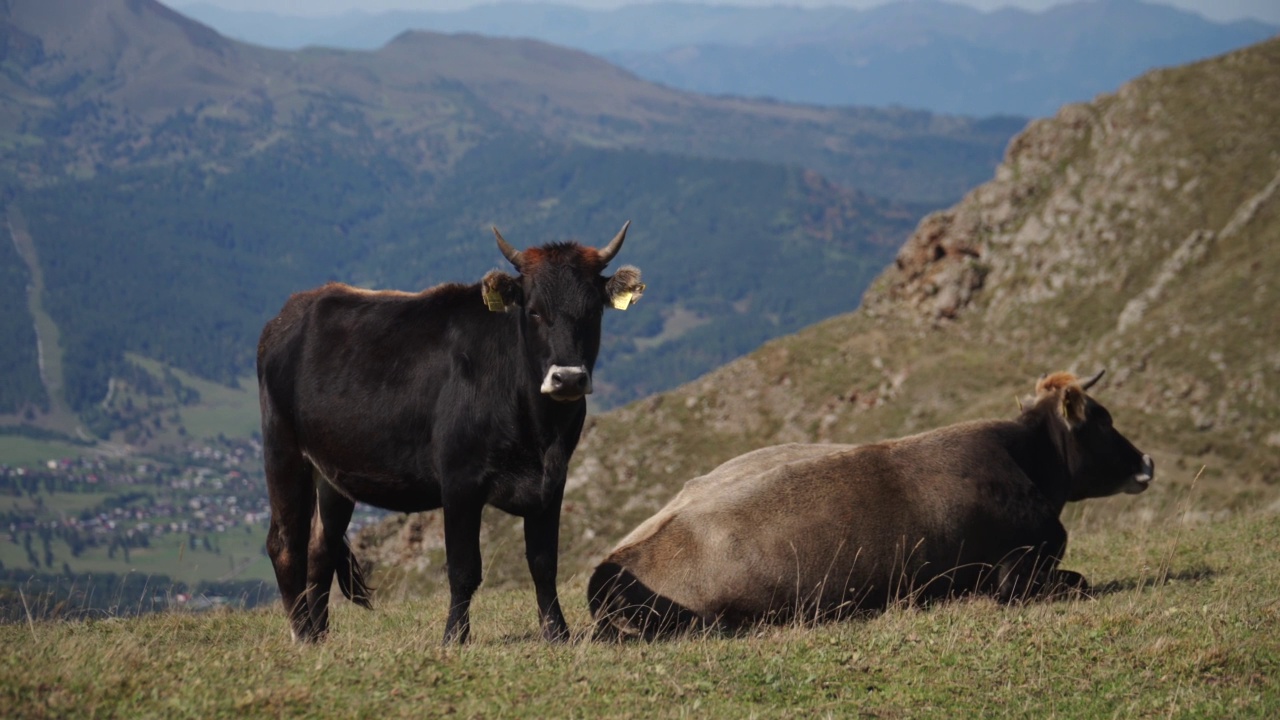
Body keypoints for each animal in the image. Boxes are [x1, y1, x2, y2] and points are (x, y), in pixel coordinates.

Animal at [258, 221, 645, 640]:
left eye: (592, 312)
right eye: (535, 311)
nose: (568, 378)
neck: (540, 432)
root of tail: (287, 315)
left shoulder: (554, 481)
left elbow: (544, 563)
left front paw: (557, 632)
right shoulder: (460, 479)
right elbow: (463, 569)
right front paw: (455, 636)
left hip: (333, 474)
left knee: (321, 548)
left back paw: (321, 636)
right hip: (283, 451)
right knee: (285, 544)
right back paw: (303, 634)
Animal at [588, 368, 1162, 632]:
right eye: (1103, 419)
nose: (1148, 462)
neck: (1025, 461)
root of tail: (616, 562)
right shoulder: (1015, 570)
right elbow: (1077, 582)